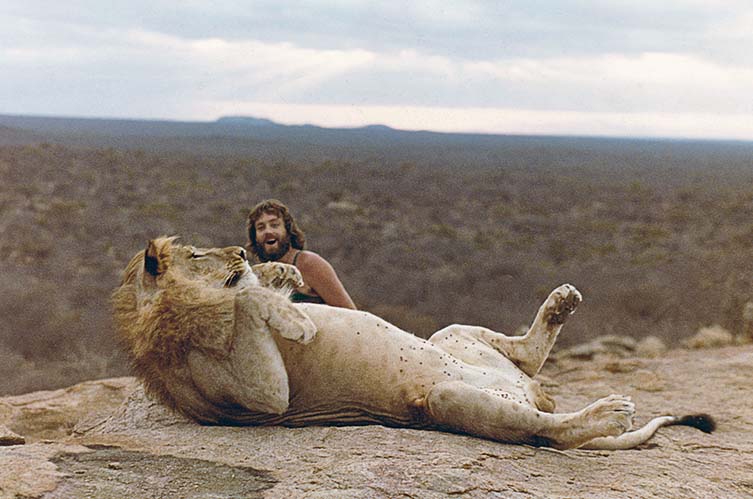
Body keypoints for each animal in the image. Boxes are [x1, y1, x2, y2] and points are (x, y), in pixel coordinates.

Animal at [110, 236, 712, 452]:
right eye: (197, 254)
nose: (239, 249)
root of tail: (527, 392)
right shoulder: (254, 400)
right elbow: (245, 307)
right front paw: (294, 320)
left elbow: (255, 290)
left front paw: (281, 273)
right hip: (445, 401)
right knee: (549, 431)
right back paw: (607, 411)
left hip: (453, 339)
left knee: (527, 356)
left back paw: (561, 302)